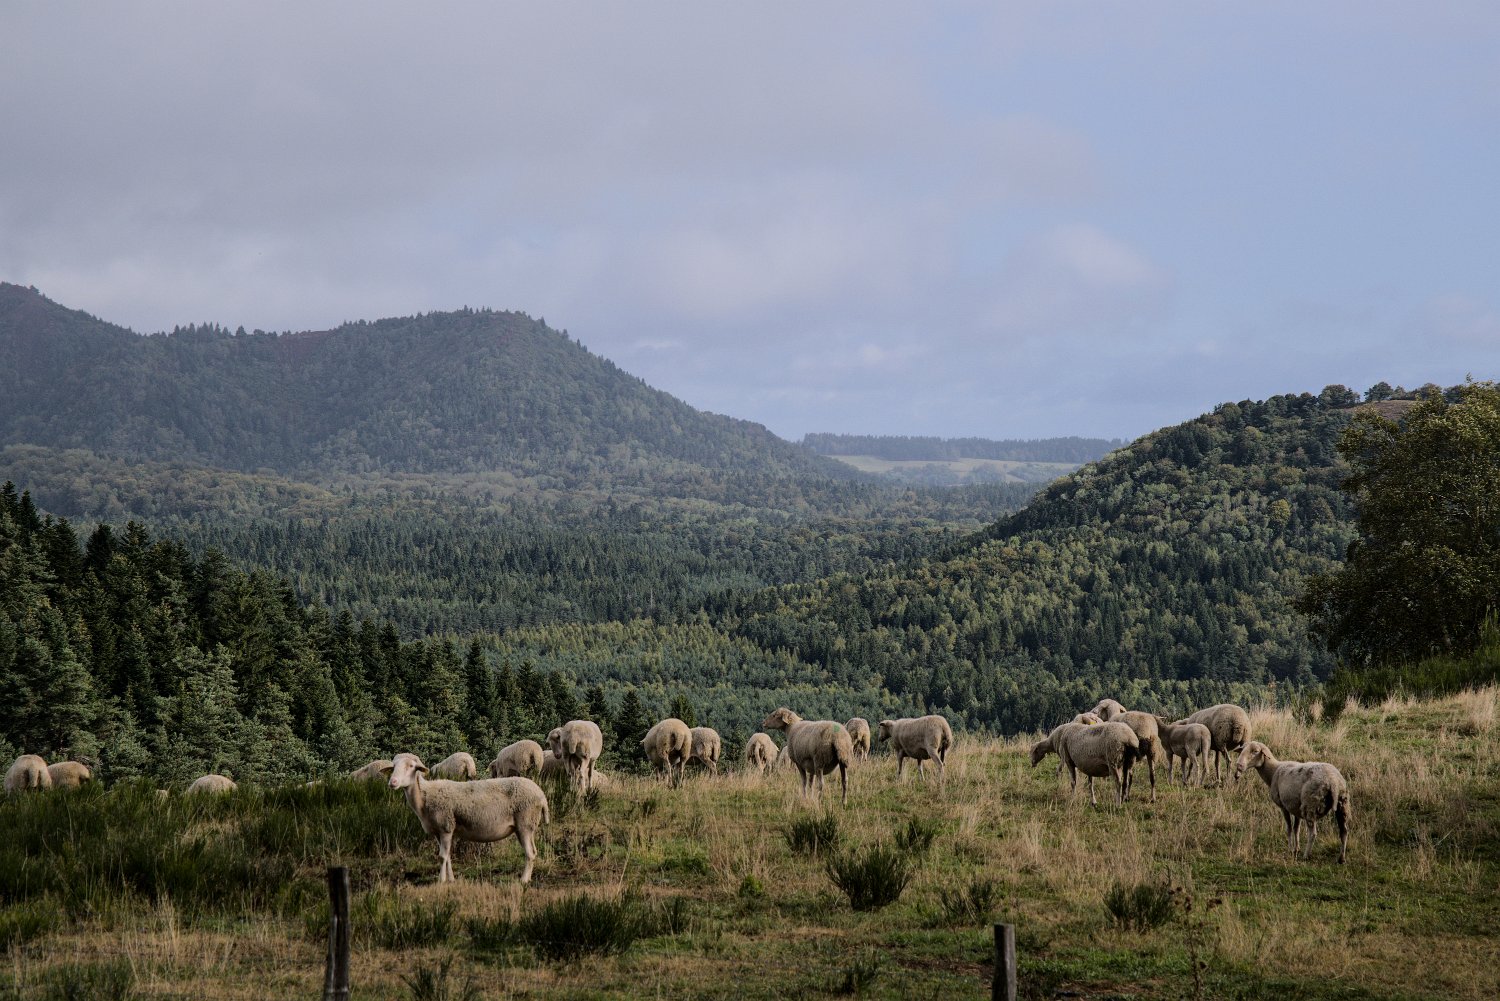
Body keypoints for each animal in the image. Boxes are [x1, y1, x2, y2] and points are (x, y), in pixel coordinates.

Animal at [383, 752, 550, 883]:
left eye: (411, 766)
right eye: (393, 767)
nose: (392, 782)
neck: (425, 795)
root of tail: (541, 795)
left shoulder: (446, 826)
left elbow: (442, 856)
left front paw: (441, 881)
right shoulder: (439, 831)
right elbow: (448, 856)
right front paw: (451, 879)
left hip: (525, 823)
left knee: (530, 853)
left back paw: (523, 880)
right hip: (526, 826)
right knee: (533, 851)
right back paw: (528, 878)